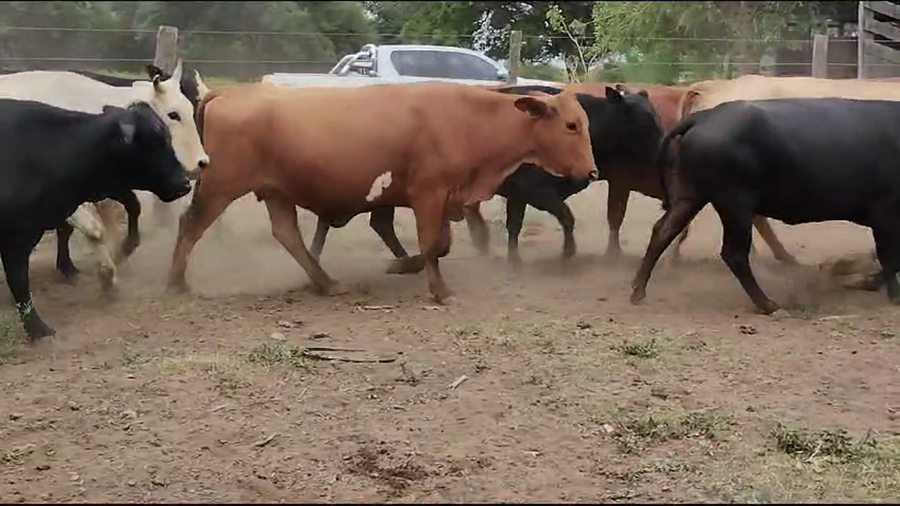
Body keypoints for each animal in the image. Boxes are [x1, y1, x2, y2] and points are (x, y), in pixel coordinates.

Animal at [0, 60, 209, 292]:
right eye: (173, 114)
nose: (202, 162)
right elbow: (93, 229)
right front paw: (105, 273)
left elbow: (131, 206)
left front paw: (120, 250)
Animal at [0, 99, 192, 339]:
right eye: (153, 141)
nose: (185, 183)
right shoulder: (18, 237)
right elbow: (19, 281)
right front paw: (38, 330)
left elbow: (130, 207)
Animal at [168, 81, 598, 303]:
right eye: (572, 125)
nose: (592, 171)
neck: (466, 118)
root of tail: (228, 94)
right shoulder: (429, 193)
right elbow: (431, 244)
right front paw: (438, 289)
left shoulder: (442, 196)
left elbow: (439, 244)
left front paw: (403, 265)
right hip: (221, 186)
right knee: (190, 225)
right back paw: (176, 282)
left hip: (276, 192)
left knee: (288, 235)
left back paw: (326, 283)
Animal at [307, 84, 664, 271]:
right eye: (645, 120)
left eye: (656, 116)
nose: (665, 142)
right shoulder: (534, 192)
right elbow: (564, 218)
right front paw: (564, 254)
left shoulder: (518, 195)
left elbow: (516, 225)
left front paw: (512, 258)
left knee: (367, 222)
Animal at [630, 97, 900, 315]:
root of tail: (704, 116)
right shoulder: (885, 215)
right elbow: (890, 258)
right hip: (736, 205)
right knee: (734, 254)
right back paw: (767, 304)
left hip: (691, 197)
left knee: (663, 232)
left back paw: (638, 291)